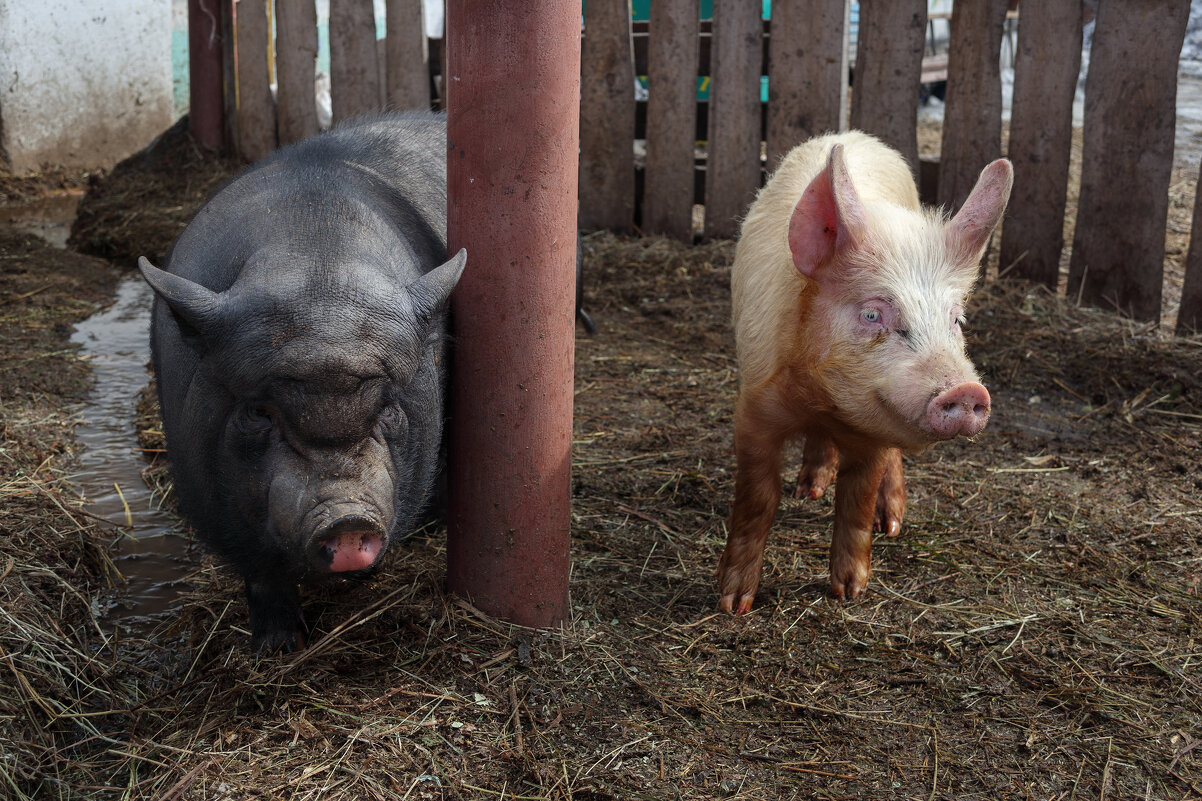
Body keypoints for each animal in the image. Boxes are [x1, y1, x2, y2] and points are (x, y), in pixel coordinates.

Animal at [716, 131, 1009, 608]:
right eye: (872, 315)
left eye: (956, 320)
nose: (966, 391)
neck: (823, 401)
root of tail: (851, 135)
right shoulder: (754, 412)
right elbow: (758, 499)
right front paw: (733, 603)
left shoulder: (873, 434)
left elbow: (856, 498)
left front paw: (850, 592)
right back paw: (809, 489)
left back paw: (890, 523)